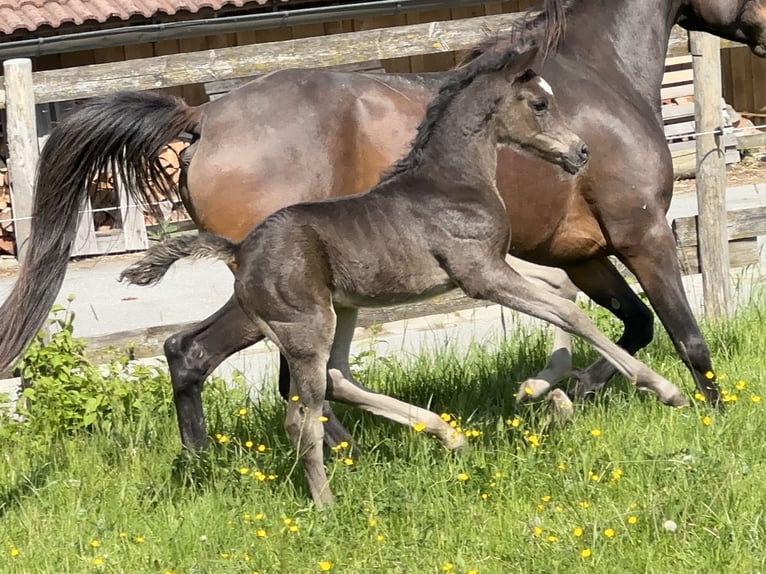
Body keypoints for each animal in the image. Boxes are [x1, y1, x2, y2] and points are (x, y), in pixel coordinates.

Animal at [0, 0, 764, 417]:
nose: (765, 28)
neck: (599, 75)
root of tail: (203, 120)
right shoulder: (642, 235)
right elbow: (685, 333)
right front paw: (711, 414)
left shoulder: (582, 257)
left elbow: (630, 327)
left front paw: (551, 391)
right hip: (273, 292)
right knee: (207, 356)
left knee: (278, 375)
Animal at [119, 41, 689, 507]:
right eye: (540, 103)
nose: (581, 151)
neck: (452, 181)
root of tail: (238, 249)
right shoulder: (481, 274)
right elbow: (574, 313)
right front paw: (664, 389)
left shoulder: (503, 268)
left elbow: (566, 302)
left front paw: (549, 393)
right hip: (306, 326)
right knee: (297, 412)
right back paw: (326, 503)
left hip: (342, 310)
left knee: (336, 376)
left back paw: (444, 434)